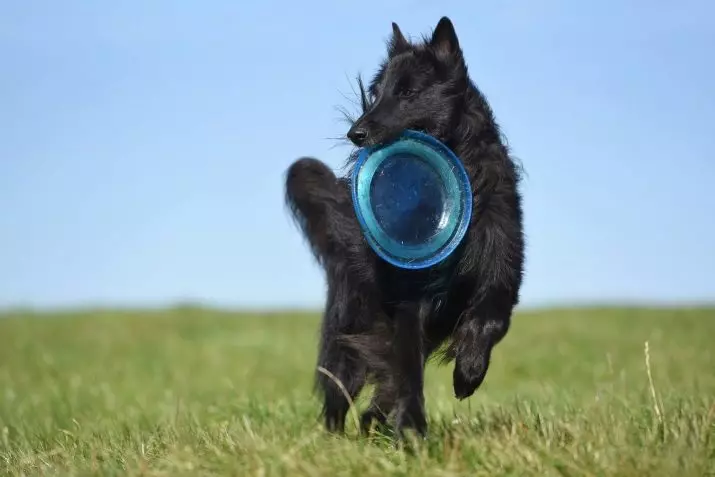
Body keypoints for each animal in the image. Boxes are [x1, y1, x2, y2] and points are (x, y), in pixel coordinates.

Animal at [286, 16, 524, 436]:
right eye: (376, 93)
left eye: (408, 92)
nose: (355, 134)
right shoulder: (409, 303)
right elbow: (408, 370)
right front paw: (412, 428)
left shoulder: (502, 272)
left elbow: (490, 320)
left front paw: (469, 372)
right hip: (348, 330)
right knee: (340, 391)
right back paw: (336, 438)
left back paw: (375, 423)